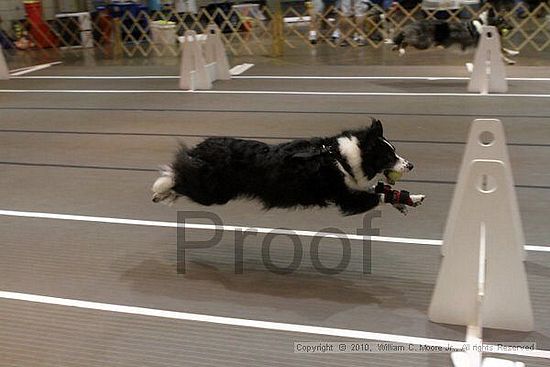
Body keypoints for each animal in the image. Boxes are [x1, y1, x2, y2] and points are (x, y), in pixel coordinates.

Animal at [151, 119, 426, 216]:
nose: (411, 165)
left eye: (394, 151)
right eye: (389, 155)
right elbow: (378, 196)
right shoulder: (345, 197)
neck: (343, 156)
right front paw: (404, 198)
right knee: (179, 176)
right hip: (213, 192)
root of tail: (201, 148)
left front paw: (412, 198)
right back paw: (162, 189)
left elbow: (385, 192)